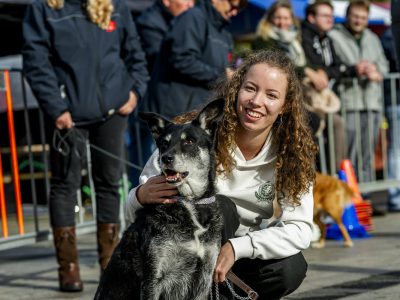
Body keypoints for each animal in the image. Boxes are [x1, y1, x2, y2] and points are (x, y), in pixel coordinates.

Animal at [94, 99, 225, 300]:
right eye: (164, 143)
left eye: (189, 141)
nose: (165, 158)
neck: (189, 201)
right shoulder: (153, 278)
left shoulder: (204, 277)